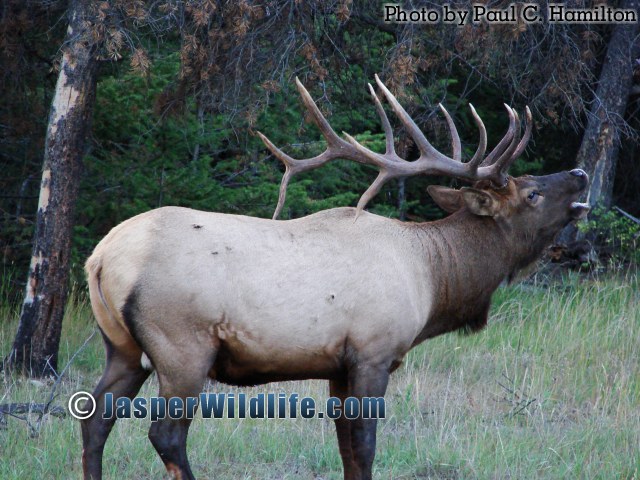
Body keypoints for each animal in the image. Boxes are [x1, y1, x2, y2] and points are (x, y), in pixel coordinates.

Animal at [81, 76, 592, 480]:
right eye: (532, 193)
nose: (581, 172)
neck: (434, 277)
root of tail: (100, 258)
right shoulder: (372, 352)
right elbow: (363, 448)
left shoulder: (337, 366)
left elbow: (345, 448)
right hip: (182, 345)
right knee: (165, 434)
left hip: (122, 346)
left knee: (95, 418)